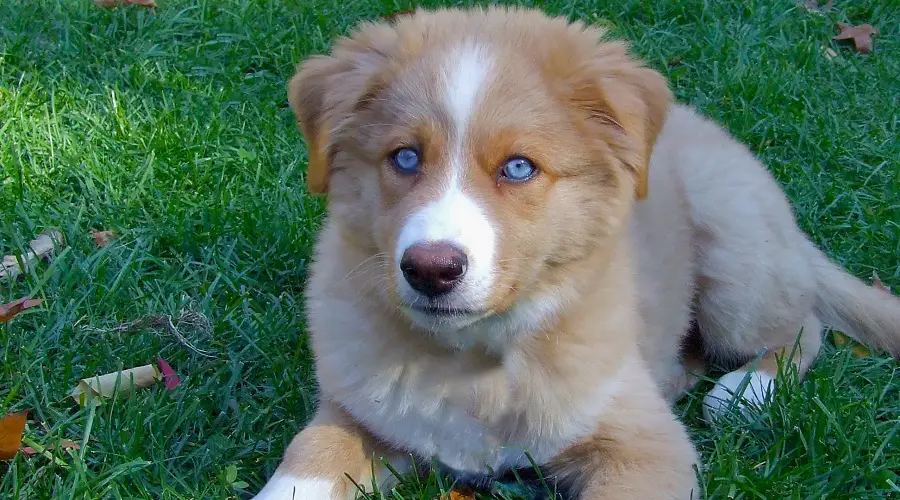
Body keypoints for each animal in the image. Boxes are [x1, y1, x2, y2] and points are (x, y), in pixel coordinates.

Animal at [251, 7, 900, 500]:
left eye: (518, 168)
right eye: (404, 157)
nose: (430, 270)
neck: (474, 362)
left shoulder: (647, 446)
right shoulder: (357, 411)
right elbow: (308, 455)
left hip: (735, 253)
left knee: (805, 324)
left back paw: (745, 392)